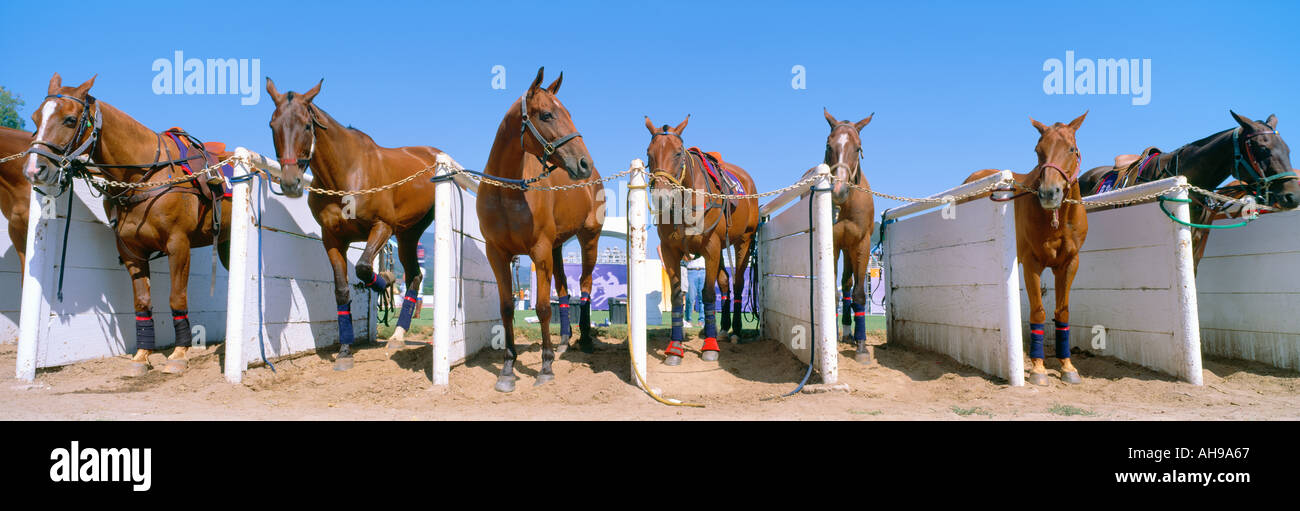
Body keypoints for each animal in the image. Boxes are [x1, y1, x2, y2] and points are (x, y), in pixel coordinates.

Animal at [23, 73, 236, 377]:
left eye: (70, 120)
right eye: (35, 117)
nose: (34, 169)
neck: (145, 176)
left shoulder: (179, 245)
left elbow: (176, 297)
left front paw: (179, 354)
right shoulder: (131, 252)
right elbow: (142, 303)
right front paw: (141, 356)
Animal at [265, 78, 443, 371]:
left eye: (306, 125)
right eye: (273, 124)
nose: (290, 182)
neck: (347, 174)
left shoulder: (382, 227)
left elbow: (363, 268)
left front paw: (384, 282)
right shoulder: (333, 239)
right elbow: (341, 290)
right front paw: (345, 350)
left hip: (408, 230)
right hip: (407, 235)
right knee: (415, 275)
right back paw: (397, 335)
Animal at [478, 67, 603, 393]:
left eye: (568, 113)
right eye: (547, 115)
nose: (584, 163)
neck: (508, 192)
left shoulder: (539, 250)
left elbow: (543, 307)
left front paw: (545, 368)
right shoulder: (497, 253)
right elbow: (507, 307)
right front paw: (507, 369)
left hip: (589, 240)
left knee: (584, 286)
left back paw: (584, 340)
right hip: (557, 247)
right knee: (564, 289)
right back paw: (564, 342)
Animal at [645, 114, 759, 366]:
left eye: (678, 153)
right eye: (649, 152)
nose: (661, 197)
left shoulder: (711, 248)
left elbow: (707, 294)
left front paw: (710, 347)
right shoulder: (669, 251)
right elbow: (677, 296)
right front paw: (675, 348)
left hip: (744, 242)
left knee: (737, 284)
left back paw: (735, 331)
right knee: (725, 282)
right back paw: (723, 328)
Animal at [963, 113, 1089, 386]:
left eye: (1071, 149)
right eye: (1038, 150)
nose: (1049, 193)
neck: (1056, 219)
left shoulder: (1069, 264)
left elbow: (1062, 313)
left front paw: (1067, 367)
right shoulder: (1032, 263)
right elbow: (1038, 313)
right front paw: (1038, 369)